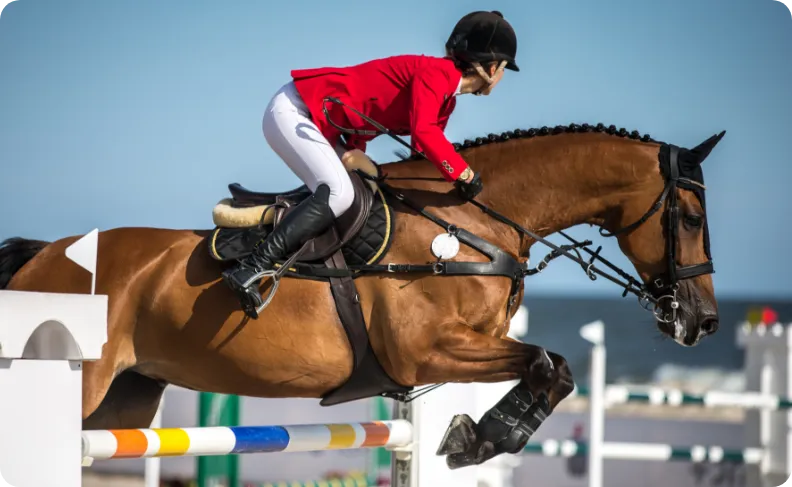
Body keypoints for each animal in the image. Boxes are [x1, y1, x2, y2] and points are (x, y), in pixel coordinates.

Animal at [0, 121, 724, 468]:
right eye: (691, 217)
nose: (704, 321)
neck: (473, 219)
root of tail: (44, 254)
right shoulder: (427, 350)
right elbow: (552, 363)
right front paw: (478, 437)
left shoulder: (465, 348)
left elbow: (555, 367)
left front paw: (477, 436)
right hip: (80, 377)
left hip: (124, 395)